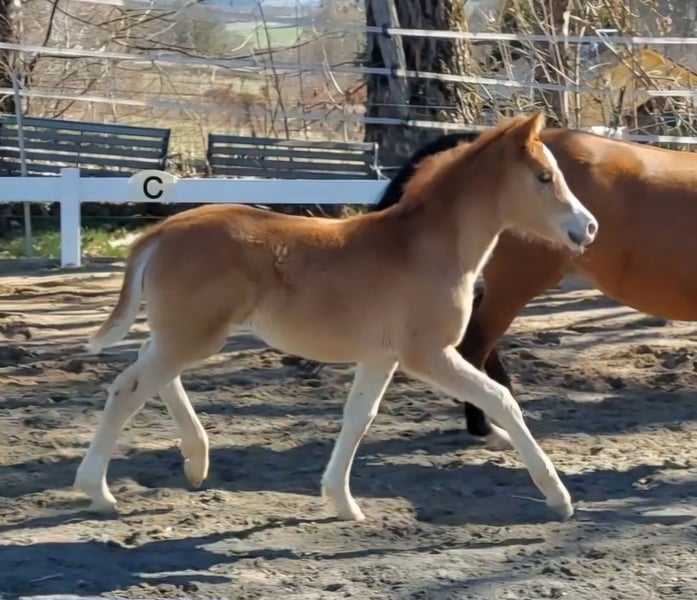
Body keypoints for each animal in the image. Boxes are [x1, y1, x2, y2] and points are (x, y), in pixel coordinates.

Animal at [74, 112, 598, 522]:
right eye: (544, 177)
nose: (588, 226)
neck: (426, 249)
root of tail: (162, 230)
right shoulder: (428, 354)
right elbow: (501, 399)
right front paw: (559, 497)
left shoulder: (381, 357)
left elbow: (358, 418)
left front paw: (342, 502)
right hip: (195, 334)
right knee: (128, 387)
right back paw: (98, 492)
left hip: (189, 333)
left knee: (153, 369)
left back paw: (196, 462)